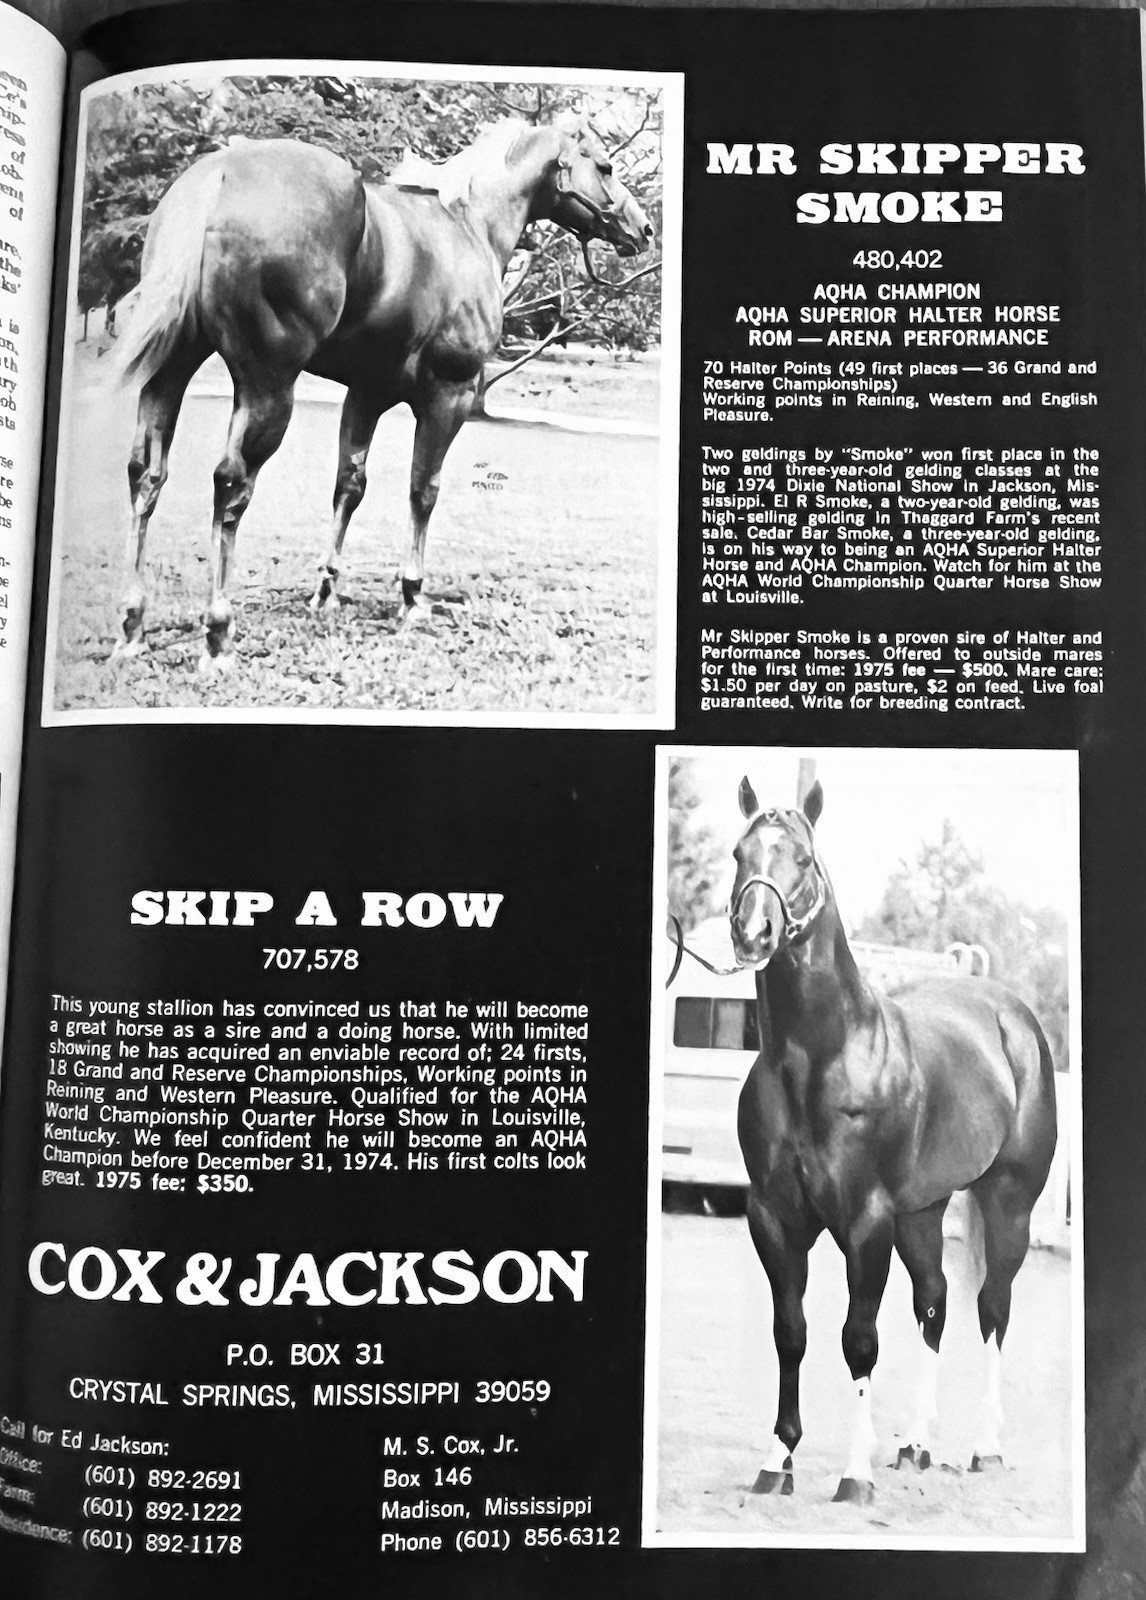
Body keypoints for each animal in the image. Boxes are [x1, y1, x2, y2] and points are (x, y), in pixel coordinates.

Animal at [113, 115, 652, 667]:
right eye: (604, 166)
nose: (643, 229)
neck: (468, 227)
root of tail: (219, 174)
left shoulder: (366, 395)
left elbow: (349, 486)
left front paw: (326, 590)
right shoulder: (448, 397)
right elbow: (423, 489)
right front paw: (412, 595)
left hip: (170, 372)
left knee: (145, 476)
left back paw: (133, 626)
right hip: (266, 387)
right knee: (230, 484)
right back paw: (218, 630)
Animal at [729, 778, 1057, 1504]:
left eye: (802, 858)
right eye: (740, 853)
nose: (752, 930)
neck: (820, 1059)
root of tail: (1012, 1017)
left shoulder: (865, 1222)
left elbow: (859, 1340)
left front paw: (854, 1475)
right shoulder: (772, 1218)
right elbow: (789, 1333)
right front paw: (777, 1459)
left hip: (1006, 1203)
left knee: (993, 1307)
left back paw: (984, 1448)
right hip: (922, 1214)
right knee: (934, 1303)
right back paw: (914, 1445)